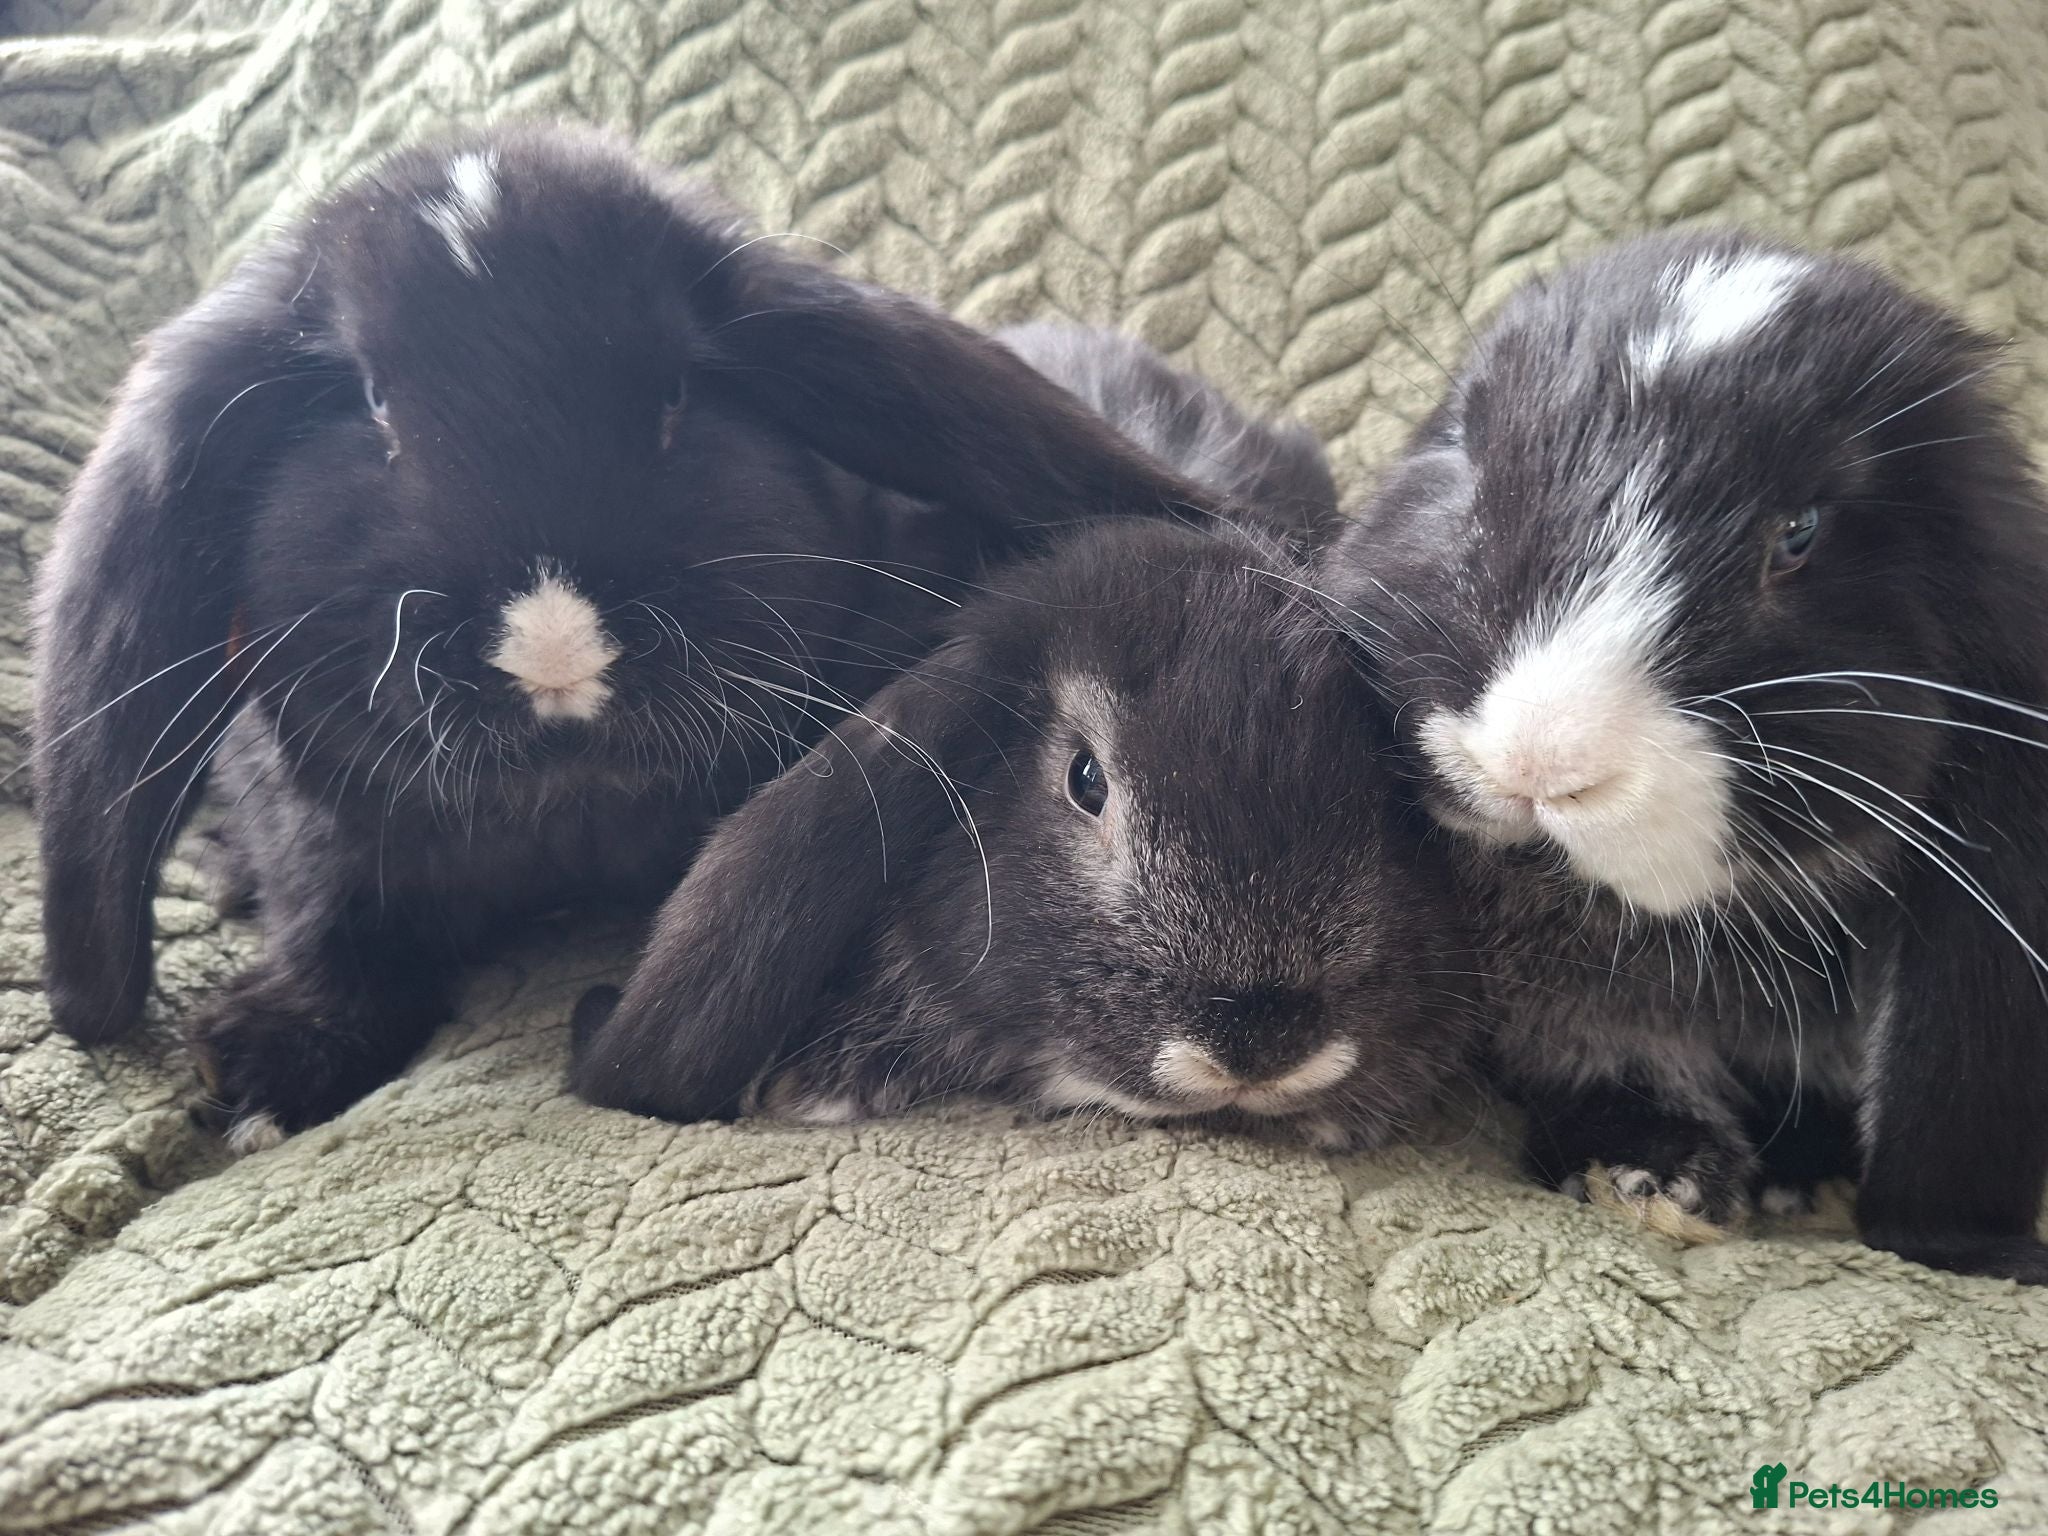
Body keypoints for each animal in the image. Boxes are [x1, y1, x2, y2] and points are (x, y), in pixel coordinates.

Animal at [31, 124, 1224, 1150]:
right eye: (371, 406)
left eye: (677, 394)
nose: (554, 649)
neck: (570, 805)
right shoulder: (314, 826)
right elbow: (338, 931)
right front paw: (268, 1076)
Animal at [1319, 228, 2048, 1283]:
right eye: (1470, 462)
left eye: (1800, 534)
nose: (1537, 762)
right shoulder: (1570, 999)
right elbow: (1613, 1063)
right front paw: (1651, 1185)